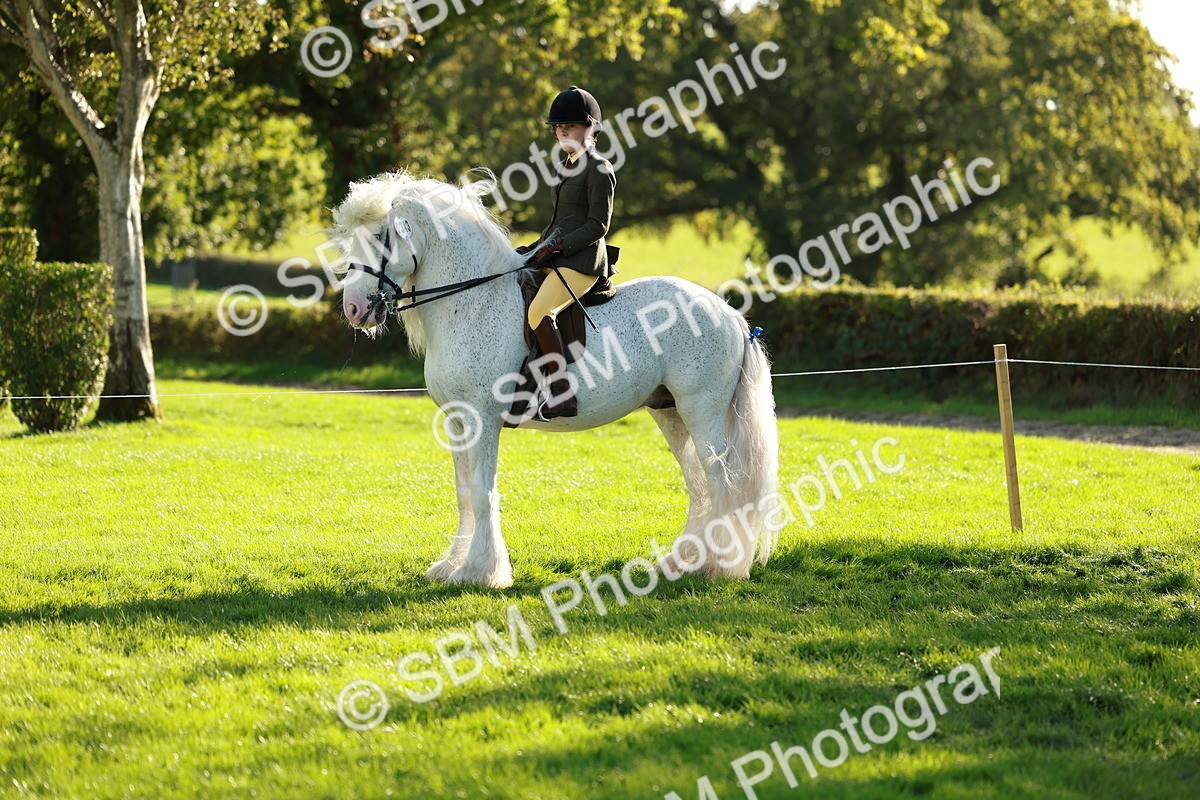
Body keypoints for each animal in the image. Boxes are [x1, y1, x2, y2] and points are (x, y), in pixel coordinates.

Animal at [329, 171, 779, 589]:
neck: (472, 302)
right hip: (670, 412)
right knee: (699, 485)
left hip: (701, 408)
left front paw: (481, 572)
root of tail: (728, 313)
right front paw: (452, 566)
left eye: (382, 238)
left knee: (721, 482)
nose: (353, 309)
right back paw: (681, 564)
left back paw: (717, 566)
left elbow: (483, 492)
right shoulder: (457, 421)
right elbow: (464, 494)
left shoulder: (483, 419)